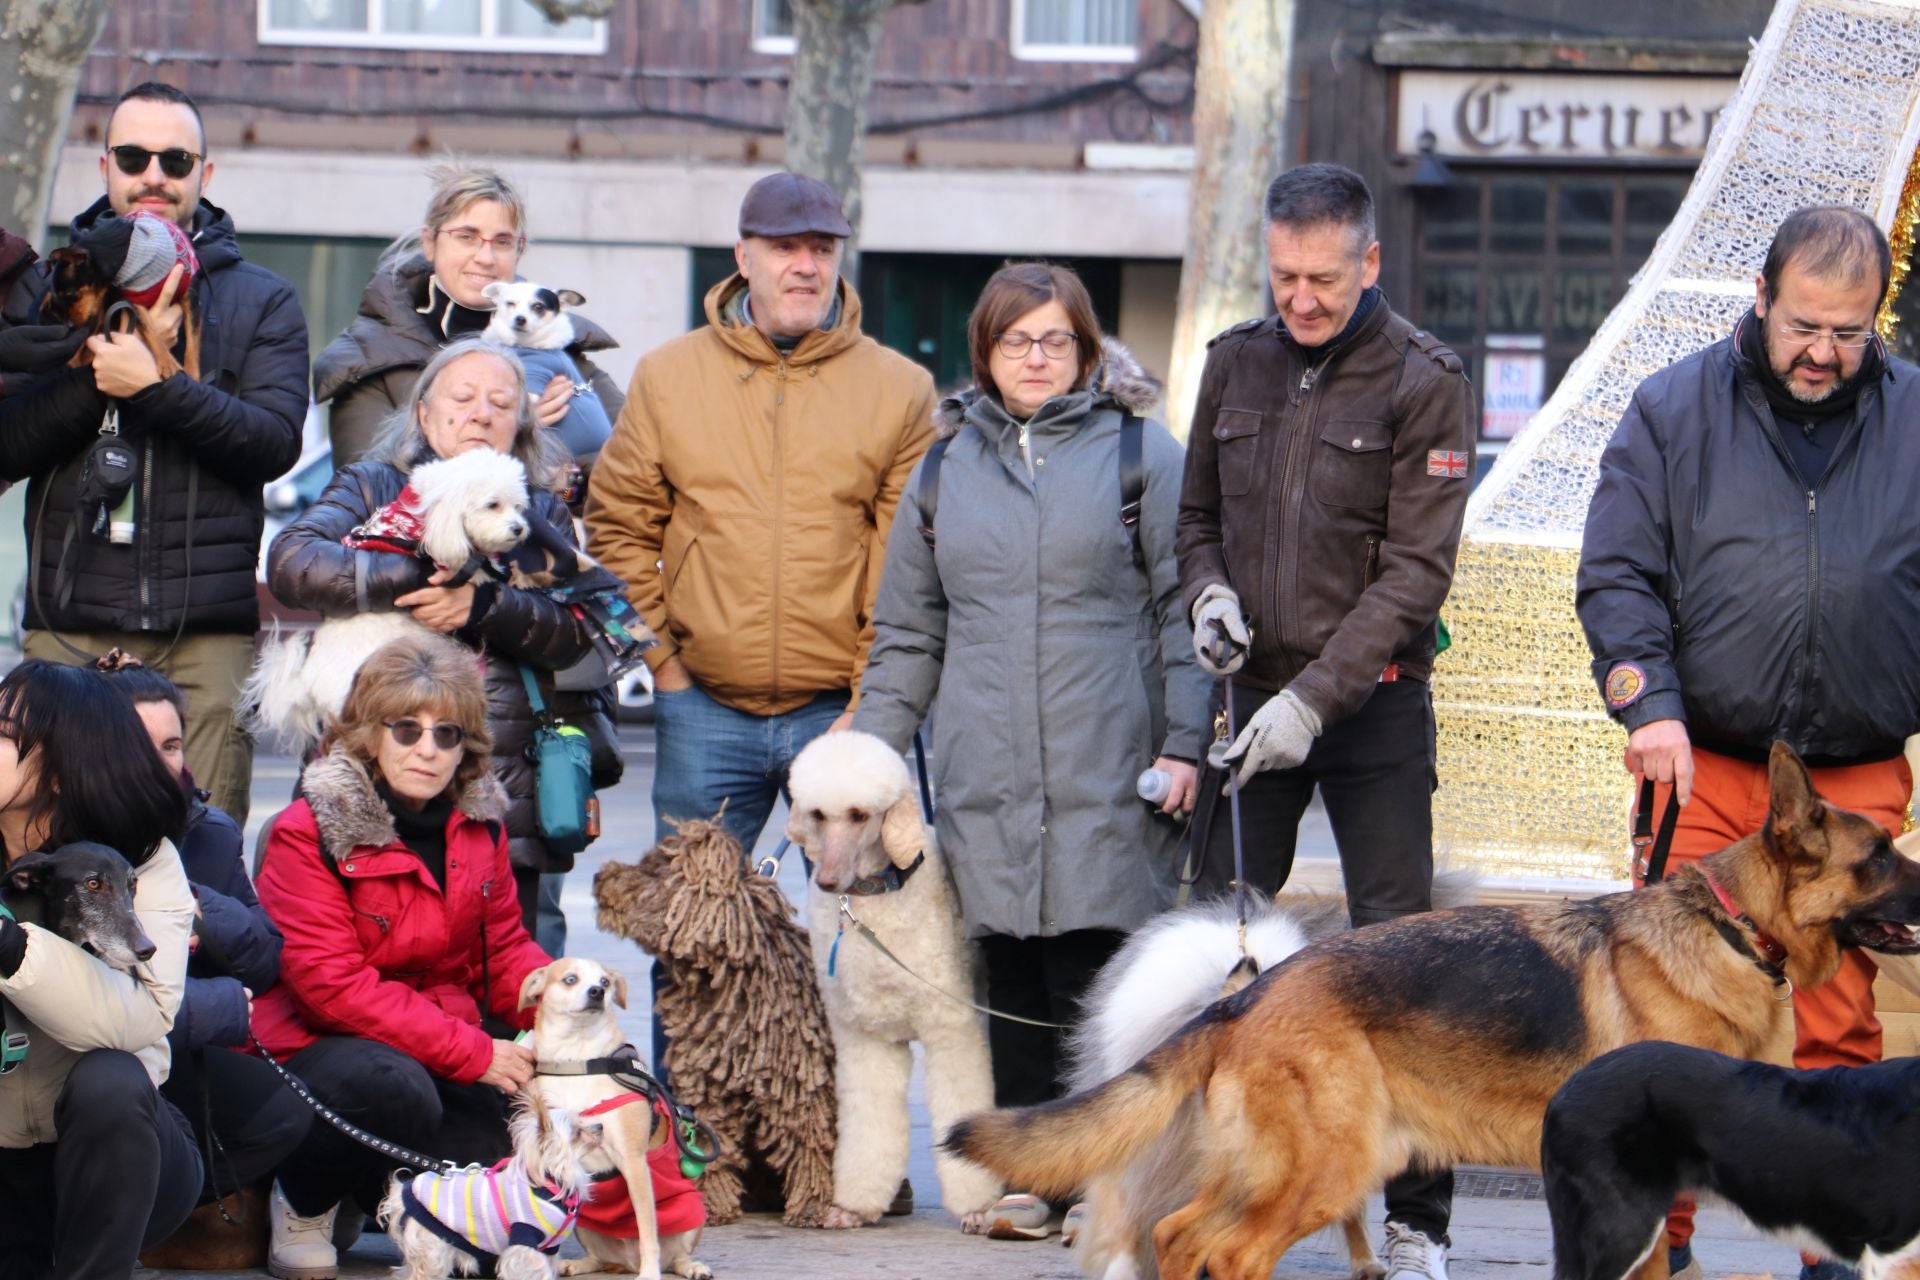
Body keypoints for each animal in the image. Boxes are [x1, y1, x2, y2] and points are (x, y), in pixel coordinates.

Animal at [595, 821, 837, 1228]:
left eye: (652, 871)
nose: (600, 875)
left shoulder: (800, 1083)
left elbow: (808, 1140)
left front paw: (812, 1205)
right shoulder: (706, 1082)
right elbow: (708, 1139)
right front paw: (713, 1203)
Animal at [787, 736, 1006, 1235]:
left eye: (859, 815)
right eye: (817, 814)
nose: (827, 881)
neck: (877, 901)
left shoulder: (952, 1031)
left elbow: (961, 1103)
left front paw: (976, 1205)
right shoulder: (867, 1039)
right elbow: (869, 1126)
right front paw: (852, 1206)